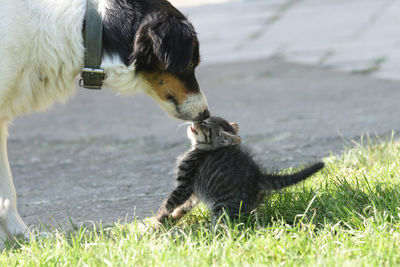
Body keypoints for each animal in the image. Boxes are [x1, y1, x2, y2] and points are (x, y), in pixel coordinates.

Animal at [155, 117, 324, 224]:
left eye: (206, 123)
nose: (196, 119)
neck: (201, 150)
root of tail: (257, 175)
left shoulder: (185, 185)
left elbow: (169, 203)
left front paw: (157, 220)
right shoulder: (193, 194)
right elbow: (183, 207)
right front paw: (171, 218)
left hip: (222, 207)